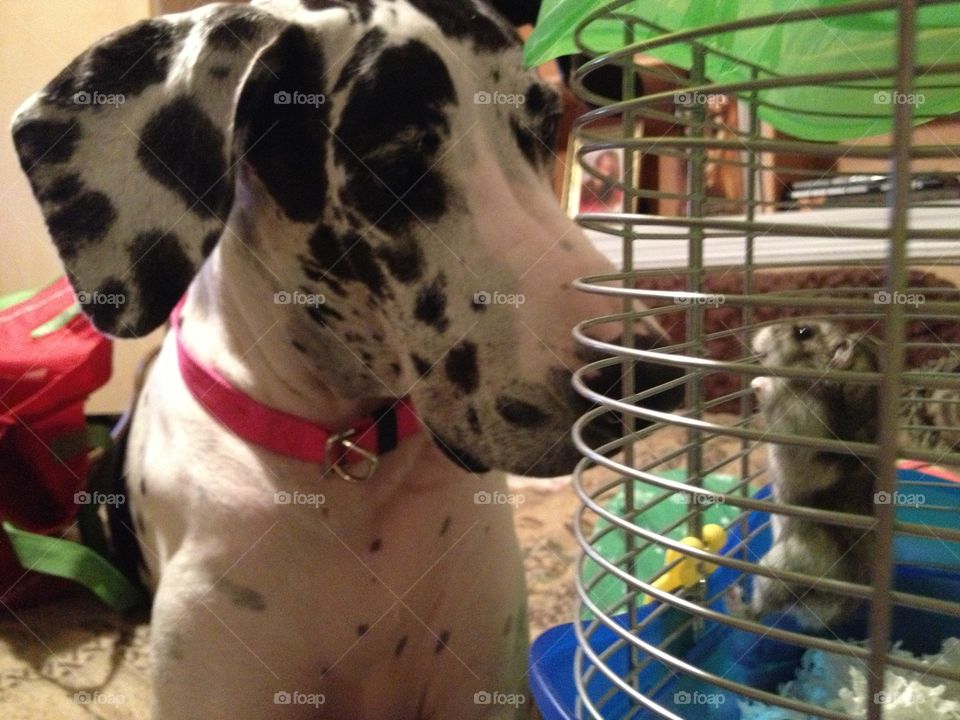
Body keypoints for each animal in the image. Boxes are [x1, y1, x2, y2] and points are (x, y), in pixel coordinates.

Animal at [728, 320, 876, 632]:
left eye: (803, 333)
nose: (756, 334)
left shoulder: (801, 416)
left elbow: (773, 394)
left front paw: (757, 382)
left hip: (777, 569)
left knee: (755, 613)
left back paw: (733, 597)